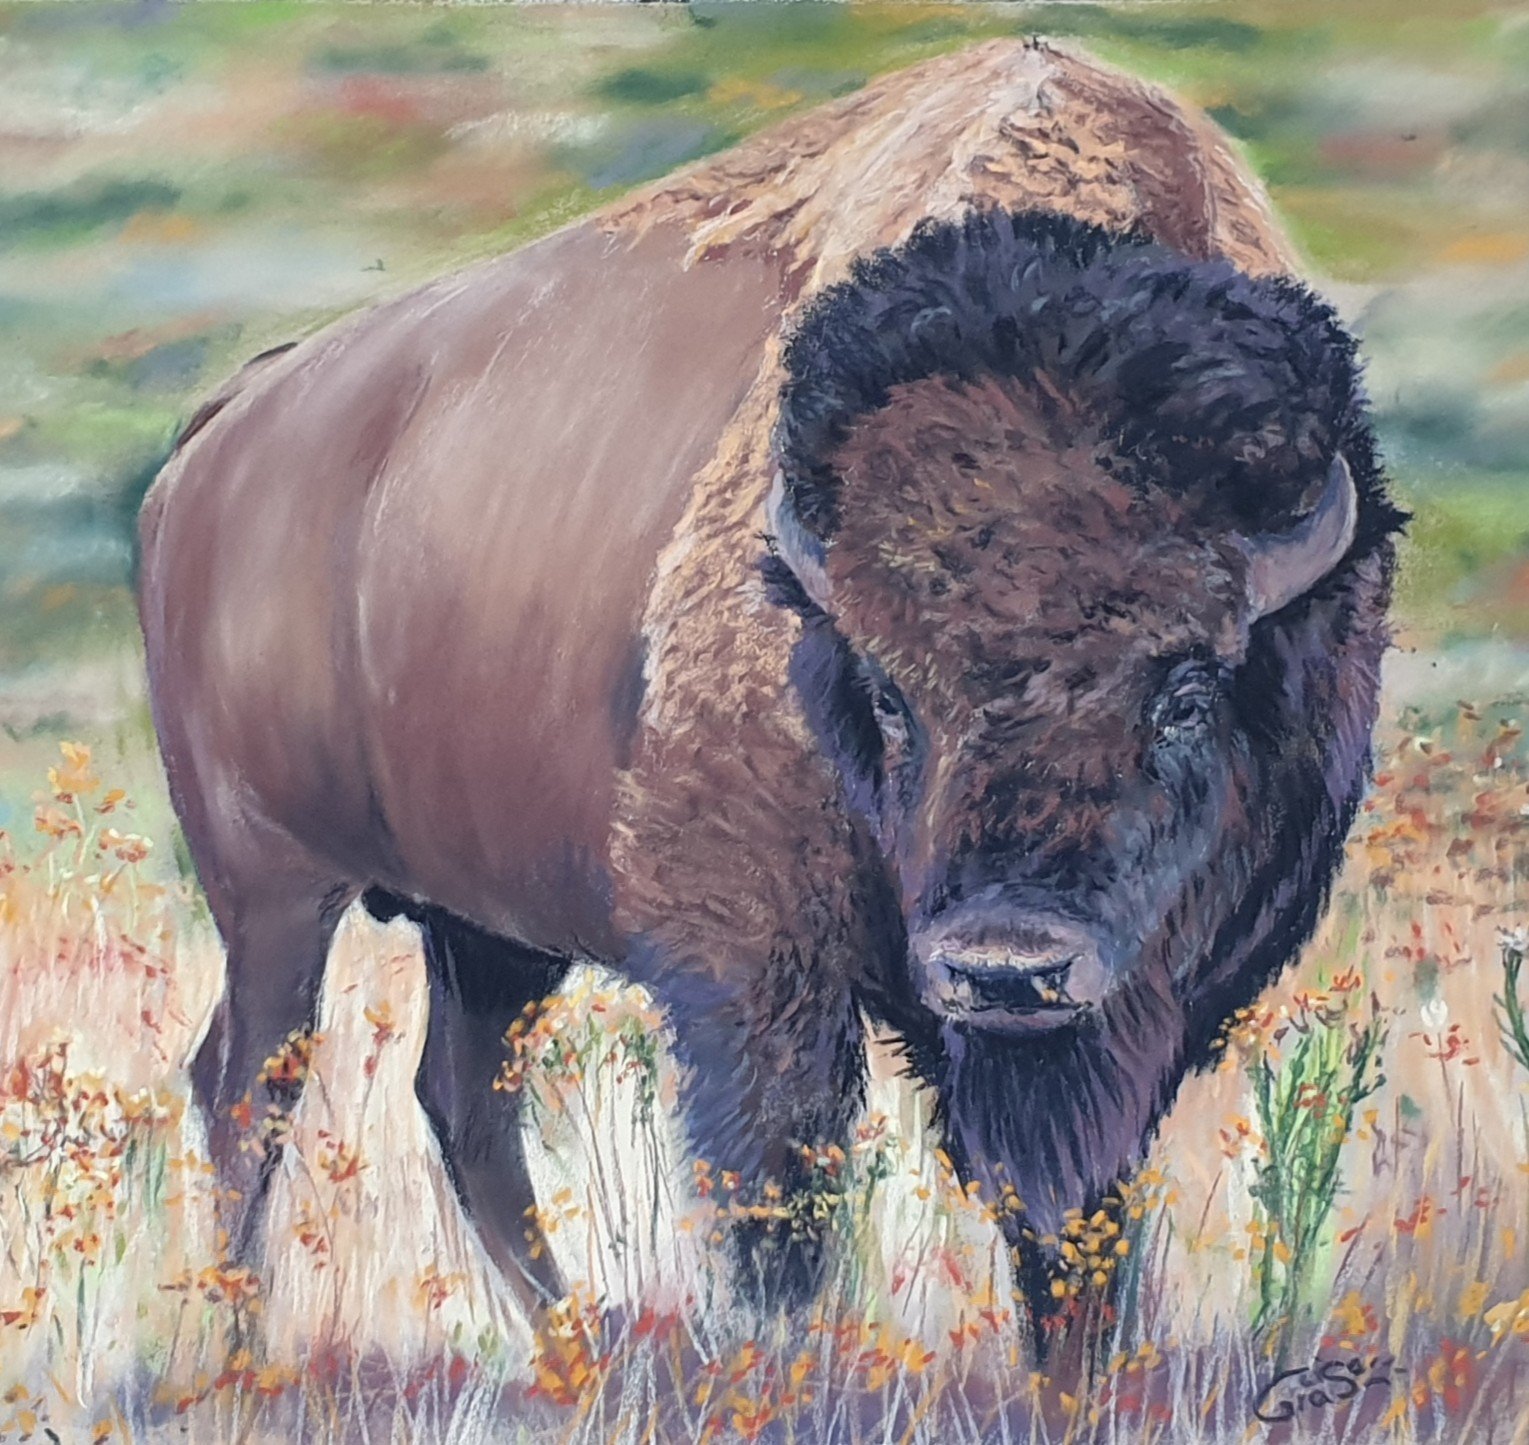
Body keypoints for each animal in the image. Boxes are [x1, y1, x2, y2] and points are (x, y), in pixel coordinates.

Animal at [135, 40, 1403, 1332]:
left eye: (1186, 692)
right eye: (889, 694)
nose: (1005, 963)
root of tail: (222, 431)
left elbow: (1070, 1227)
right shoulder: (757, 964)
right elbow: (779, 1214)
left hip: (480, 923)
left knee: (459, 1096)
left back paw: (571, 1344)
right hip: (274, 884)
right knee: (250, 1088)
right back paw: (243, 1343)